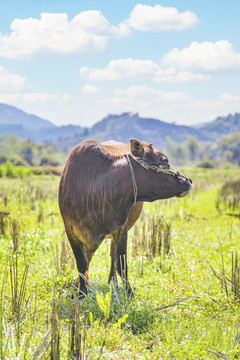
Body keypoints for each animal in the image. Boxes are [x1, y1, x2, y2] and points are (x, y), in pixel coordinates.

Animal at [58, 138, 193, 296]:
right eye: (164, 159)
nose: (188, 181)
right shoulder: (70, 231)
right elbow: (81, 264)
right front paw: (81, 292)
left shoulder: (121, 229)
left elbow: (121, 265)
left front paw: (129, 293)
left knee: (112, 256)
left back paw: (112, 281)